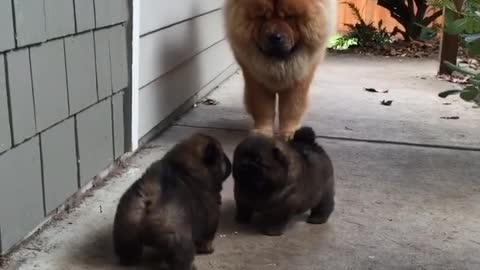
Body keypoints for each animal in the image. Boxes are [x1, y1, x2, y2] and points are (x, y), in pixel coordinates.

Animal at [113, 134, 232, 268]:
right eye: (222, 157)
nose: (230, 163)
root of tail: (151, 194)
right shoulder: (212, 217)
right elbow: (207, 238)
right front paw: (208, 250)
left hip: (126, 228)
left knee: (128, 249)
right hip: (178, 239)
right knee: (181, 257)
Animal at [224, 0, 334, 139]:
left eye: (289, 17)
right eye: (262, 17)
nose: (274, 36)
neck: (278, 63)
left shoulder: (299, 78)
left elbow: (292, 108)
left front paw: (290, 133)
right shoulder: (256, 79)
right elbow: (263, 107)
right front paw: (262, 132)